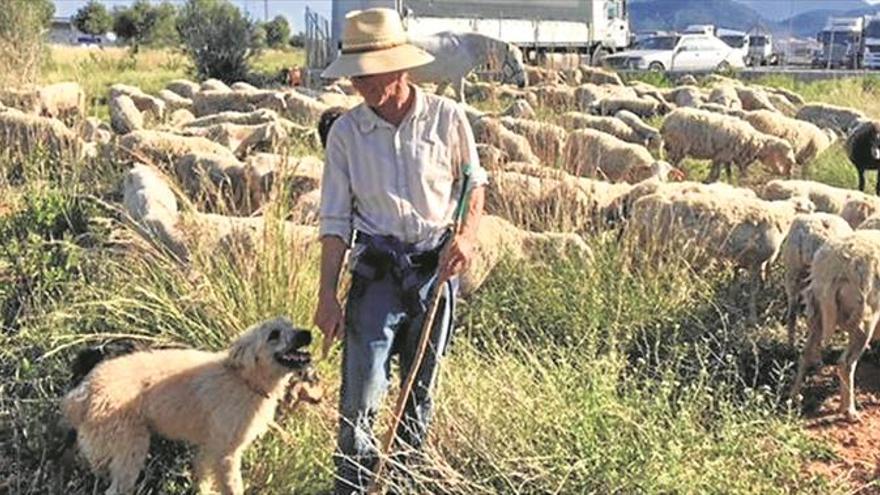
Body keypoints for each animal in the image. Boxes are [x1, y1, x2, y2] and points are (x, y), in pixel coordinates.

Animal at [60, 318, 312, 495]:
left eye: (291, 323)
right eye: (273, 335)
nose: (307, 334)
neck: (244, 379)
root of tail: (83, 393)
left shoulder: (209, 448)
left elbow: (204, 480)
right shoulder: (227, 453)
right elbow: (233, 487)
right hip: (131, 448)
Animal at [660, 108, 796, 184]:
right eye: (787, 152)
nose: (790, 174)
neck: (753, 142)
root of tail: (667, 120)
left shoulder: (726, 156)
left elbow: (727, 171)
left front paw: (730, 182)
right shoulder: (723, 154)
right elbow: (718, 171)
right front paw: (710, 180)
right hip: (677, 146)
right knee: (671, 162)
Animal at [792, 231, 880, 420]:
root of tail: (834, 269)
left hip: (816, 312)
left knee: (806, 353)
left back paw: (793, 396)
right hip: (864, 318)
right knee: (846, 363)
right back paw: (849, 411)